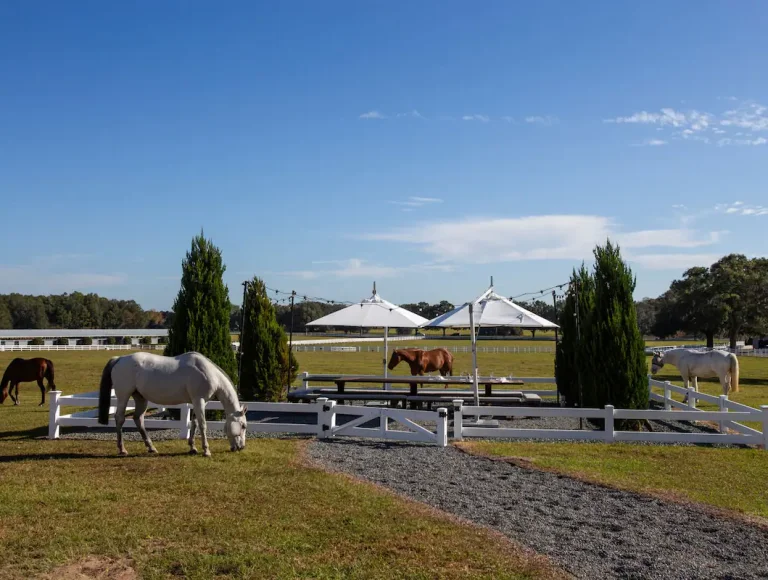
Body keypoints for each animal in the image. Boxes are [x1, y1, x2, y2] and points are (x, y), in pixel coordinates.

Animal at [96, 348, 246, 458]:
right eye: (243, 426)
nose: (241, 447)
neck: (208, 372)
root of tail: (120, 359)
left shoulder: (197, 403)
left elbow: (194, 423)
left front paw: (193, 448)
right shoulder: (199, 401)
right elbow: (203, 425)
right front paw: (206, 450)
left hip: (141, 398)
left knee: (138, 419)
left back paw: (151, 448)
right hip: (123, 396)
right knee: (120, 418)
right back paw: (122, 449)